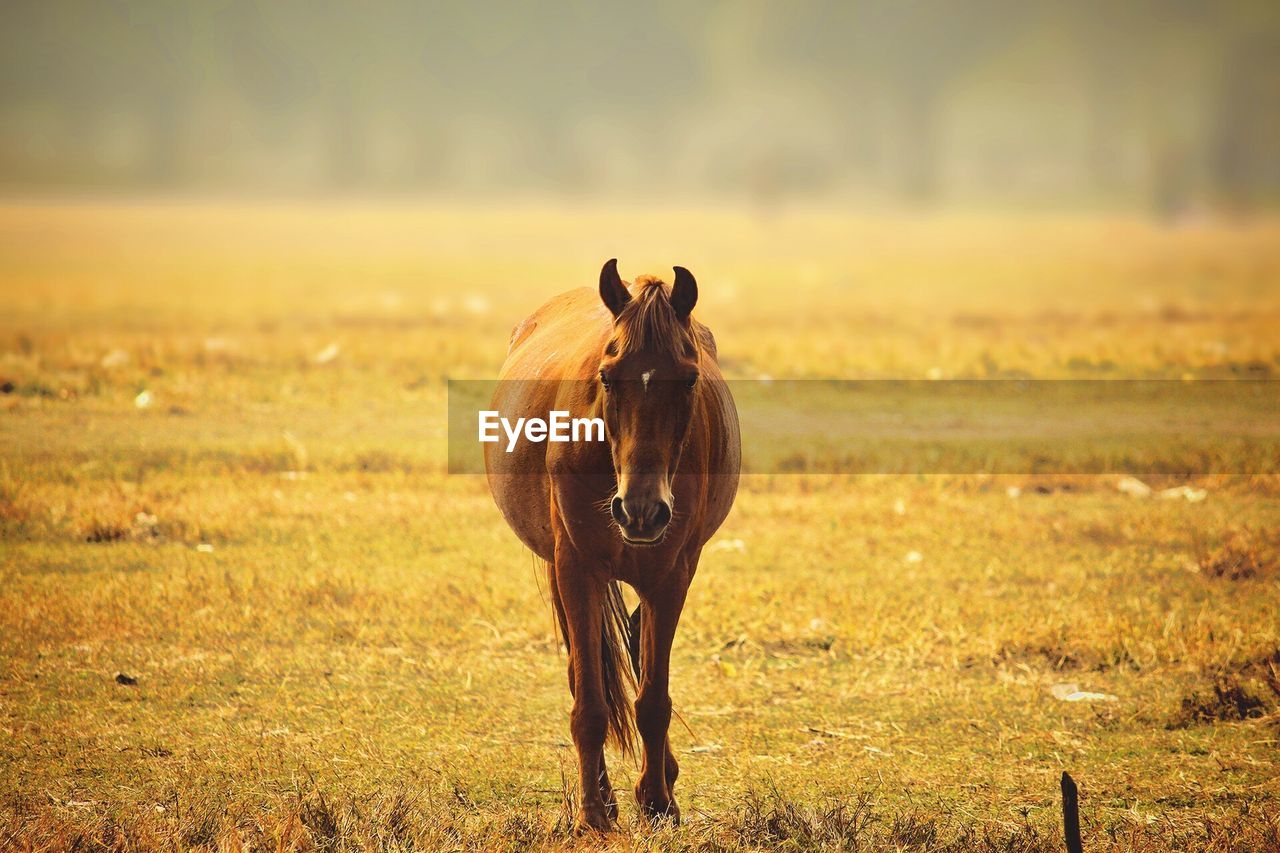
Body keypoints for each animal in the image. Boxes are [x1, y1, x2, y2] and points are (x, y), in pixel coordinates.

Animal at [481, 258, 742, 829]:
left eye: (689, 377)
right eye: (607, 375)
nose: (641, 510)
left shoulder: (672, 574)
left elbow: (653, 700)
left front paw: (659, 802)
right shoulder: (576, 568)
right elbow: (591, 703)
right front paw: (593, 814)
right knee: (587, 673)